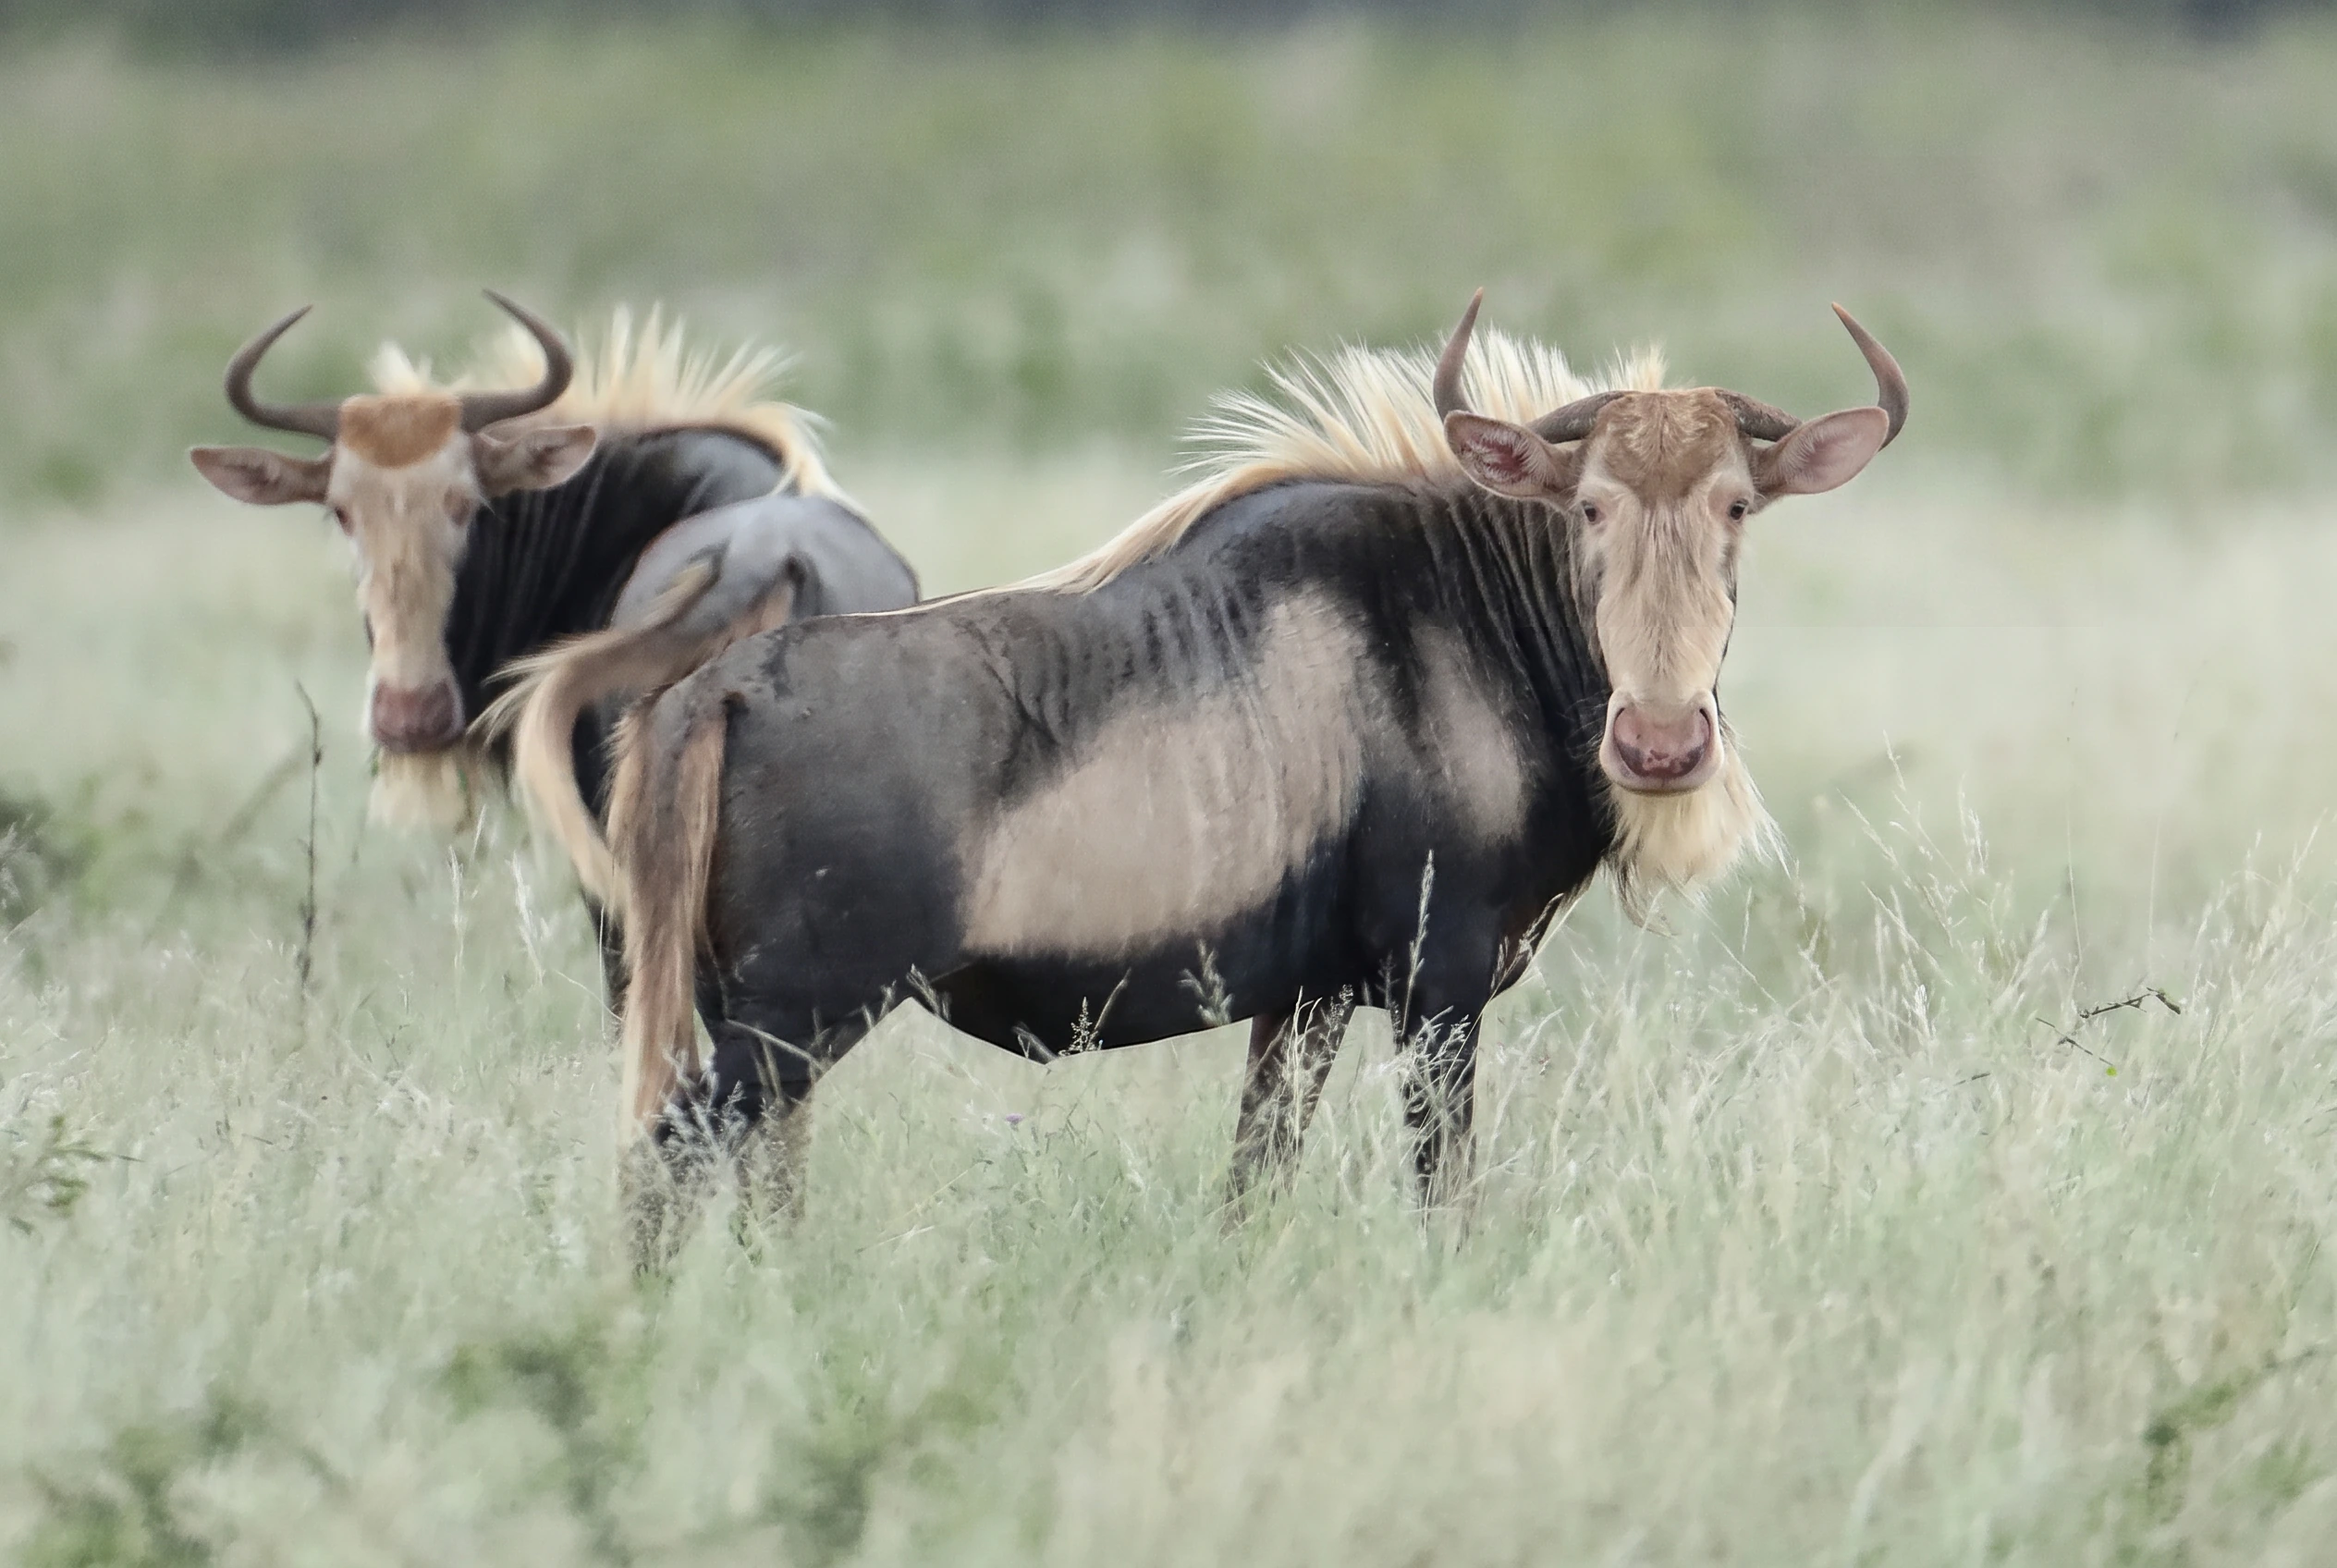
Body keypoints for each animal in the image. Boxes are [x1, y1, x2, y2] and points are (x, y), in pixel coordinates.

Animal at [509, 291, 1907, 1263]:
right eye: (1591, 508)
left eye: (1737, 507)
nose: (1660, 744)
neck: (1464, 610)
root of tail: (721, 688)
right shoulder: (1440, 985)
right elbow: (1443, 1195)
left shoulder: (1304, 1000)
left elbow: (1252, 1183)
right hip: (792, 1019)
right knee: (671, 1156)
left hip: (739, 1018)